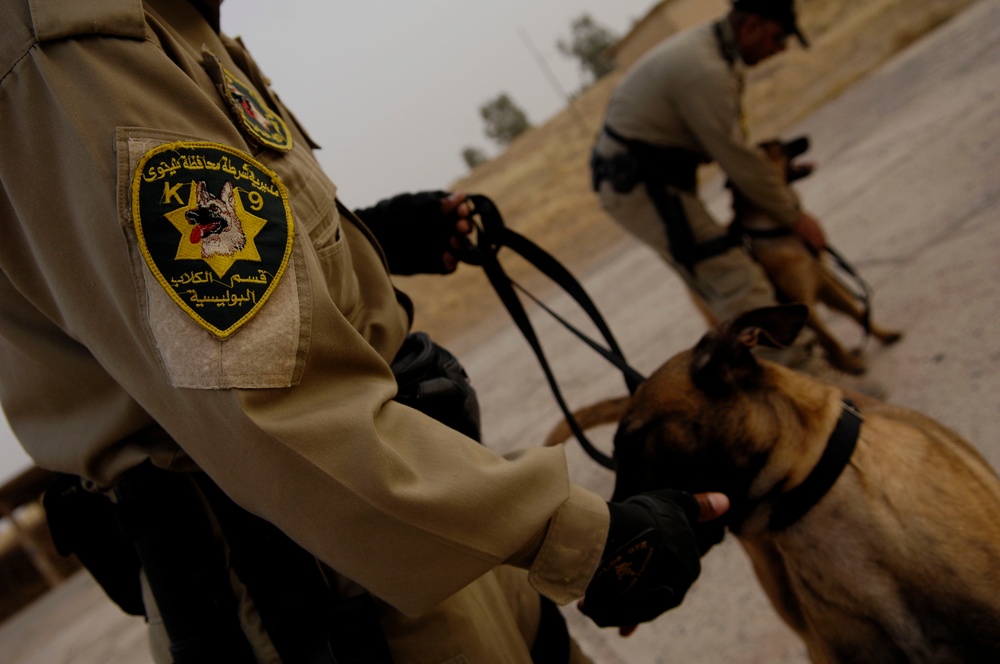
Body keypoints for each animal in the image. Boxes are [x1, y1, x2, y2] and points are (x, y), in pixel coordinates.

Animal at [732, 139, 904, 374]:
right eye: (781, 147)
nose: (805, 139)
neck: (775, 227)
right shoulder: (801, 303)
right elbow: (829, 337)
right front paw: (849, 363)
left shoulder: (824, 282)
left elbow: (857, 312)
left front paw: (883, 335)